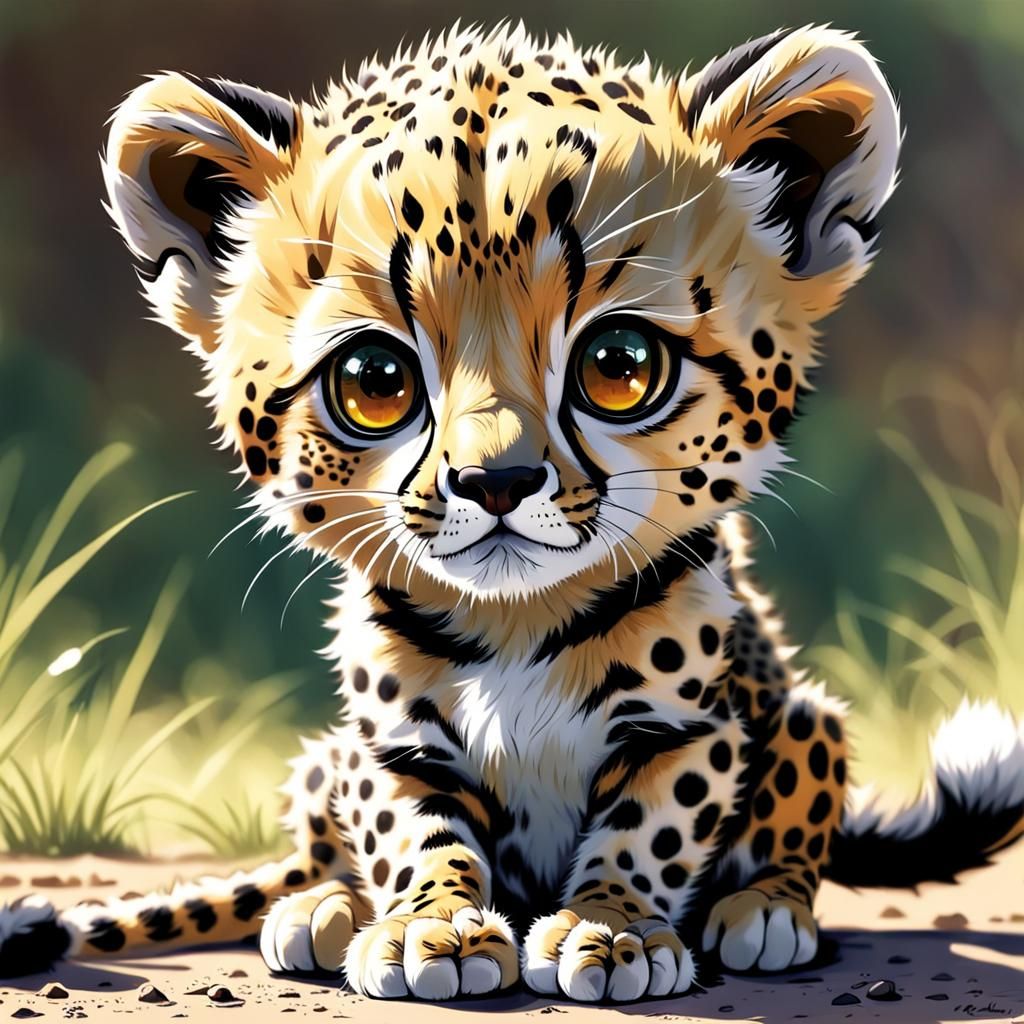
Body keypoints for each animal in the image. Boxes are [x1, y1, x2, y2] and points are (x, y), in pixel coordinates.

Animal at [3, 20, 1023, 1004]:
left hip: (808, 718)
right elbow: (414, 830)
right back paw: (320, 908)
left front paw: (610, 929)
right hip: (322, 758)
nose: (496, 481)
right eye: (374, 379)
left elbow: (650, 826)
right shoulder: (389, 742)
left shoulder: (692, 730)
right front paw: (432, 927)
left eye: (619, 364)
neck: (517, 624)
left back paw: (767, 910)